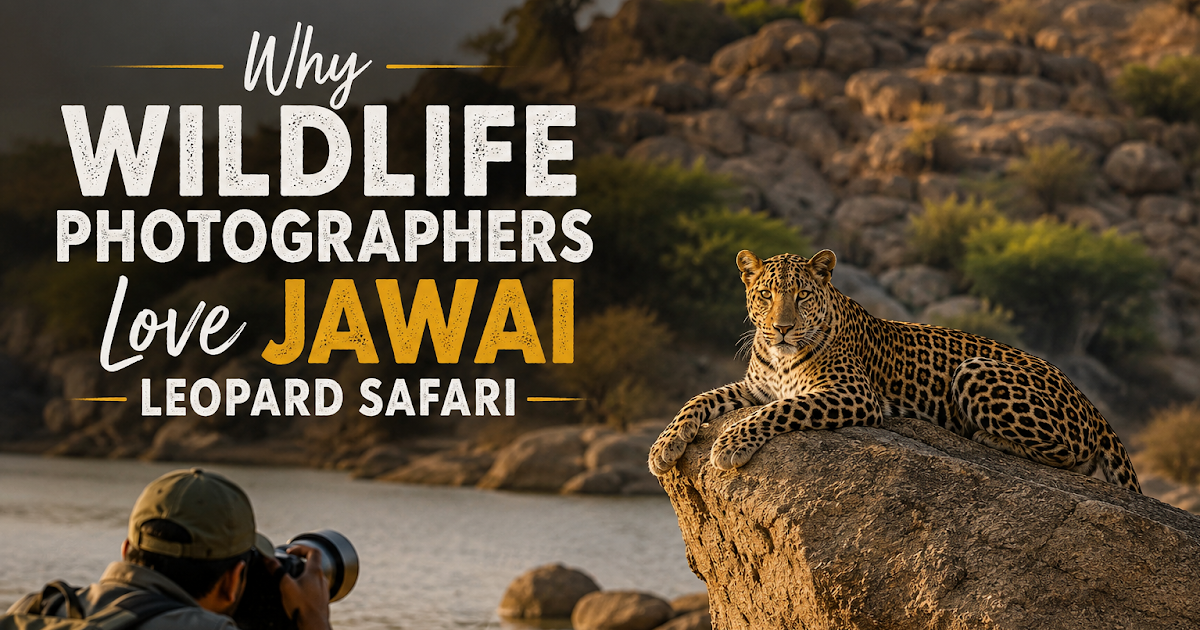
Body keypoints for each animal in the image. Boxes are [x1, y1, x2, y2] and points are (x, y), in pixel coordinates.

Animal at [648, 248, 1142, 493]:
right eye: (766, 294)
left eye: (802, 295)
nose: (782, 328)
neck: (782, 356)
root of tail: (1090, 402)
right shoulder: (756, 389)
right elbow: (699, 398)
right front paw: (663, 447)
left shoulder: (851, 393)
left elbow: (780, 411)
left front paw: (729, 445)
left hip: (975, 369)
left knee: (1072, 458)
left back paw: (986, 437)